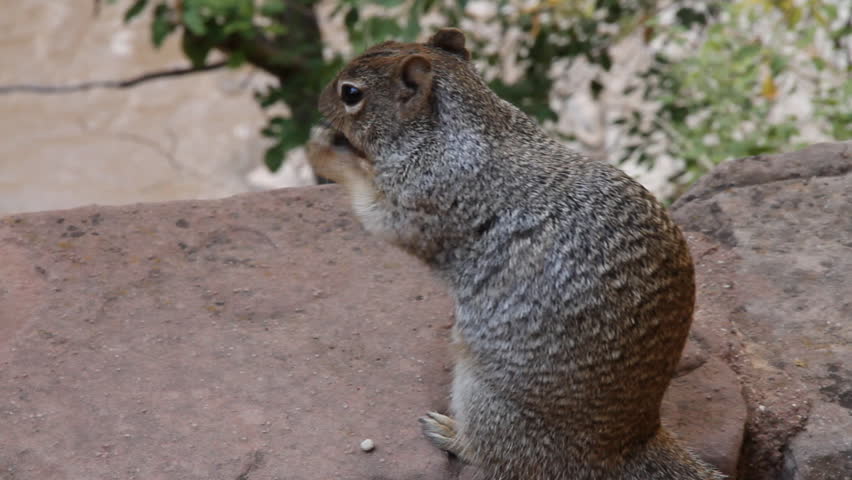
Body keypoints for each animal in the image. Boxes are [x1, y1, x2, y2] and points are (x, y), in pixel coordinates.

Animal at [307, 28, 723, 480]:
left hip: (483, 399)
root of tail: (625, 447)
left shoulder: (425, 196)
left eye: (351, 93)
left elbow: (375, 211)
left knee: (499, 455)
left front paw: (323, 149)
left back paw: (450, 433)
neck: (459, 127)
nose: (319, 100)